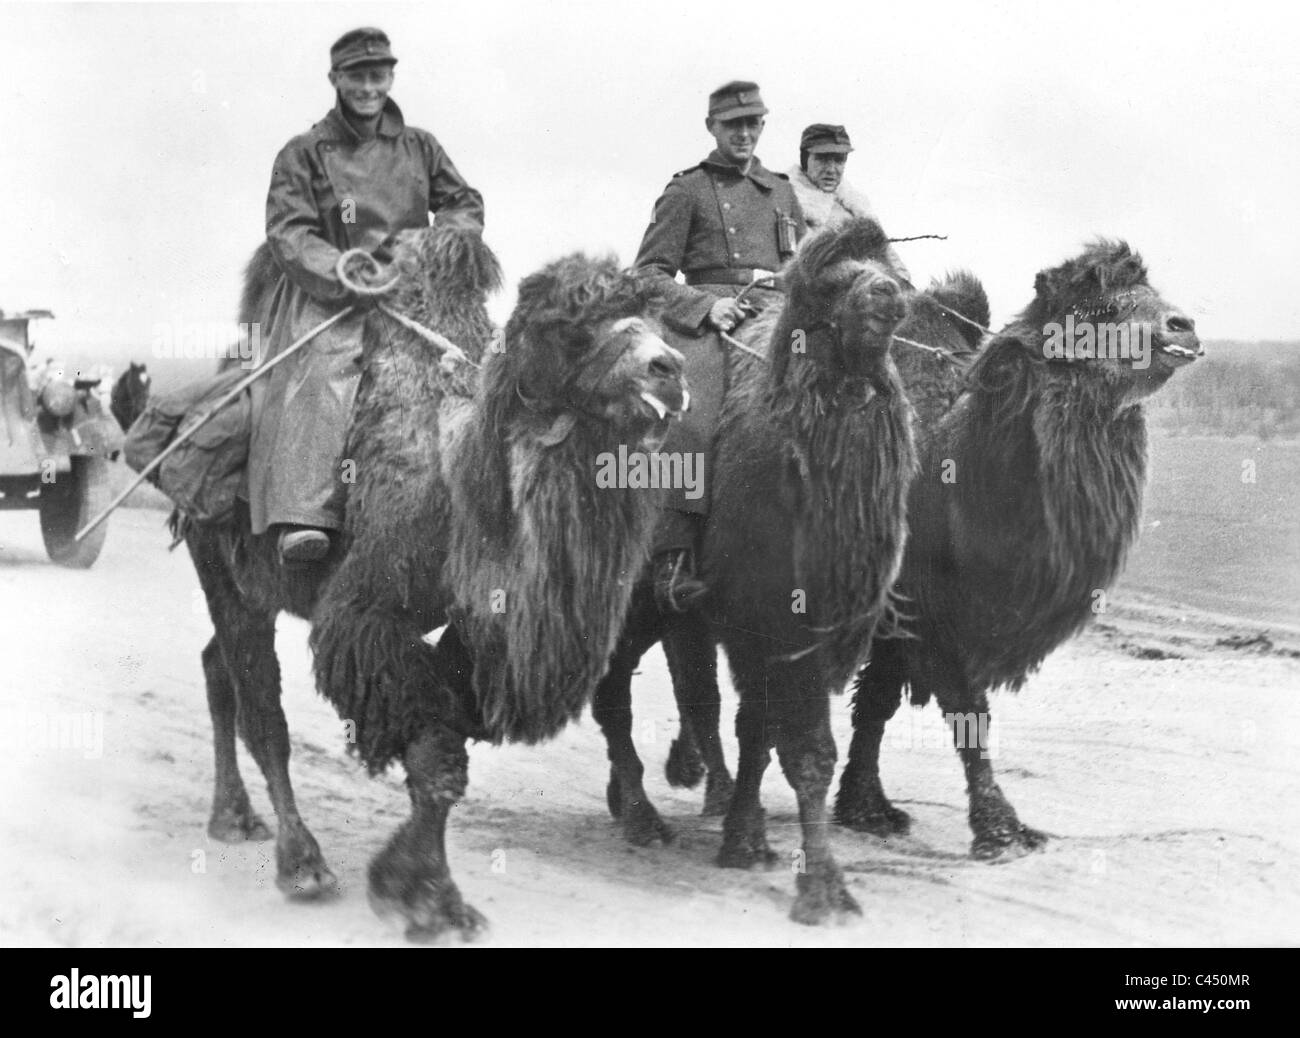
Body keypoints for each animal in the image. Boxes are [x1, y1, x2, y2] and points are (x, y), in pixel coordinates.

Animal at [592, 221, 915, 926]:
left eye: (893, 272)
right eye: (832, 282)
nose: (886, 294)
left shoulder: (795, 630)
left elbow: (758, 734)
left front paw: (748, 842)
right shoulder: (765, 618)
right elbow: (805, 752)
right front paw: (822, 888)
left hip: (653, 610)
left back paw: (626, 804)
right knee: (611, 696)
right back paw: (643, 820)